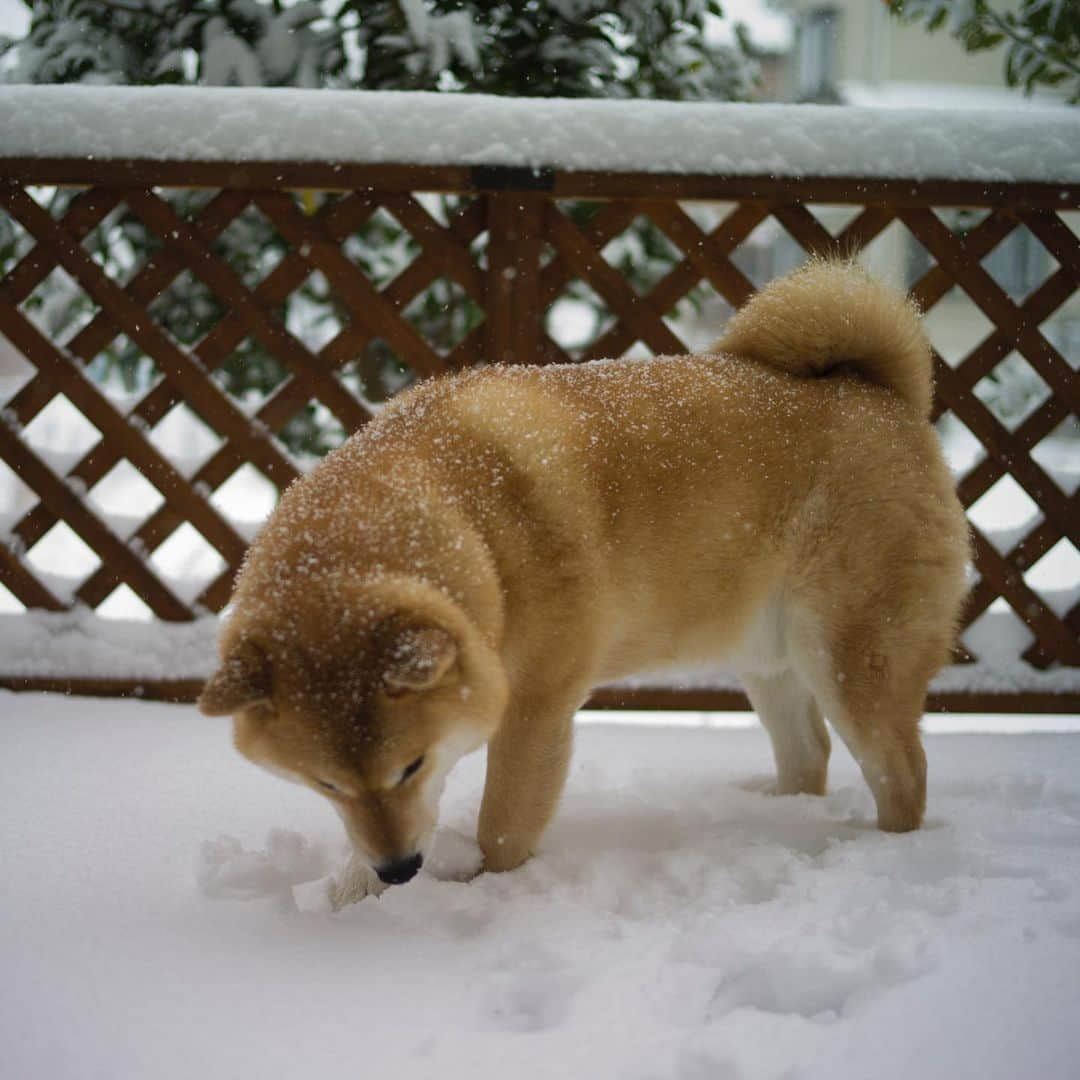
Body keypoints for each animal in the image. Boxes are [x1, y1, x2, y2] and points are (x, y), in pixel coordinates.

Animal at [200, 259, 972, 885]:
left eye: (410, 765)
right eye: (324, 785)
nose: (399, 871)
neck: (471, 518)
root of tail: (885, 395)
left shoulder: (535, 710)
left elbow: (503, 827)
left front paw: (483, 892)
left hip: (851, 660)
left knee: (904, 774)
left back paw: (883, 852)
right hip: (770, 660)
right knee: (809, 755)